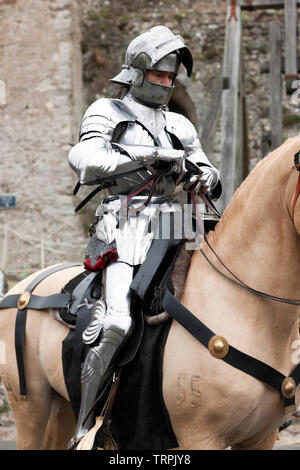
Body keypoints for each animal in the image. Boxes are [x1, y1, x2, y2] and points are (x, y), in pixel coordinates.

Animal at [0, 134, 300, 450]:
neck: (244, 306)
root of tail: (22, 288)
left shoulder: (260, 437)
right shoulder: (200, 436)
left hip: (62, 406)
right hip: (30, 408)